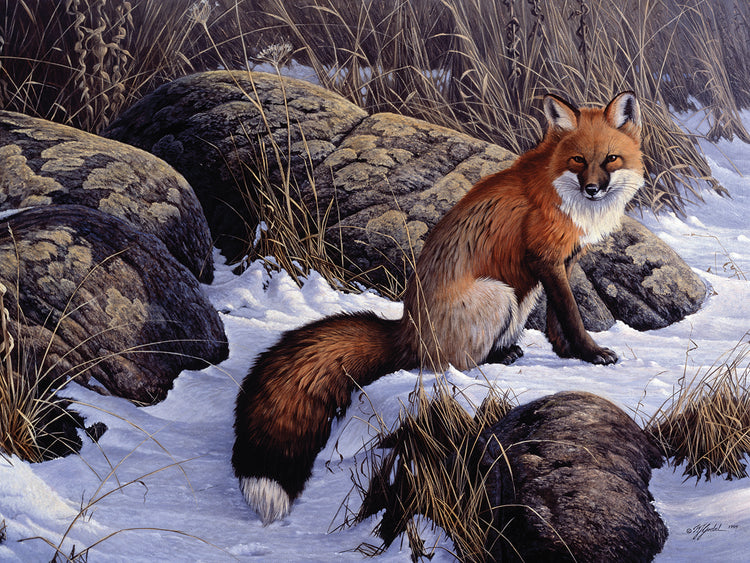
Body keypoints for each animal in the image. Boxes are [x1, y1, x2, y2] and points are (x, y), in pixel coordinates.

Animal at [232, 91, 645, 524]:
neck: (559, 190)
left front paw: (568, 353)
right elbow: (571, 314)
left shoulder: (561, 262)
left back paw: (508, 351)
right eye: (578, 160)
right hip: (499, 294)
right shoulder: (545, 259)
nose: (593, 189)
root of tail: (406, 331)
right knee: (453, 364)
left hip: (520, 295)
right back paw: (493, 360)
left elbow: (557, 319)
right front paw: (591, 354)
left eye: (611, 159)